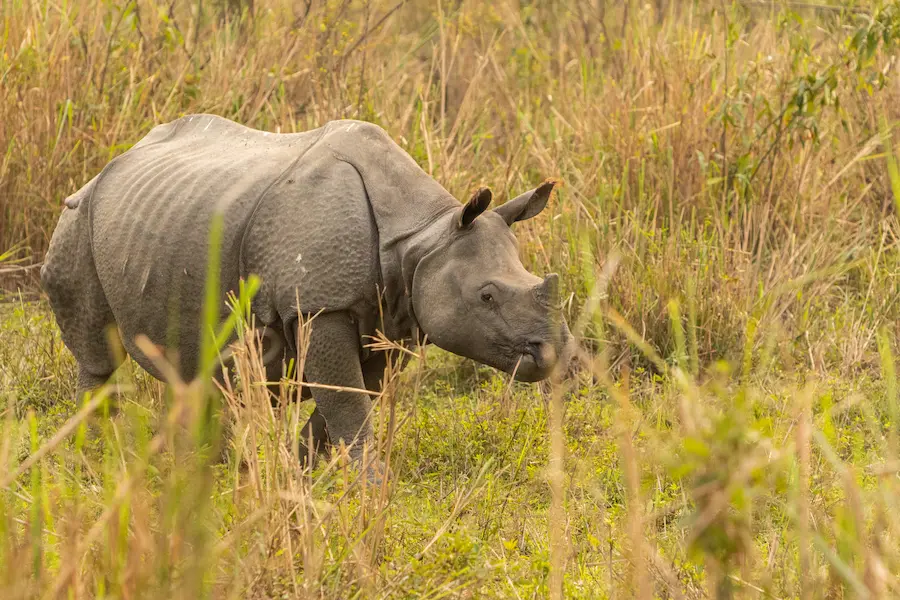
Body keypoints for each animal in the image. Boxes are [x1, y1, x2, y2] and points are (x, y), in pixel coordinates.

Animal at [42, 115, 572, 462]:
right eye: (486, 297)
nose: (552, 353)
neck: (421, 239)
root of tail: (114, 160)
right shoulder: (318, 304)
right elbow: (348, 402)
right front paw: (366, 488)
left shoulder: (394, 318)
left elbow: (350, 399)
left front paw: (302, 471)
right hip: (78, 217)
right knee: (99, 353)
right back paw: (95, 460)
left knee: (202, 372)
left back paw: (211, 470)